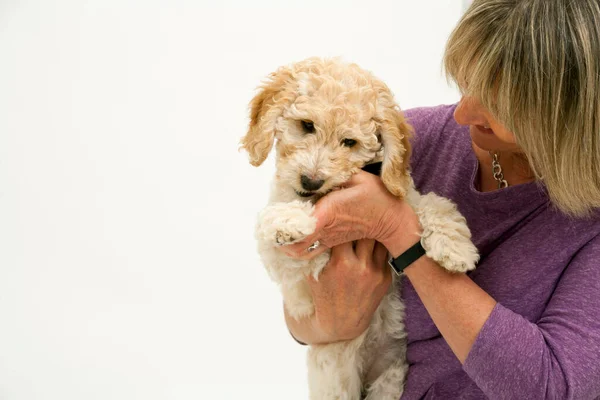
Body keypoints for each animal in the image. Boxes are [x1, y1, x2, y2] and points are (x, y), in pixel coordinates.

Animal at [239, 57, 478, 400]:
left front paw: (456, 249)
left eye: (349, 142)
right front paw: (289, 220)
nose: (310, 181)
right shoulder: (291, 272)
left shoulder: (404, 200)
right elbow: (282, 233)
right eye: (306, 125)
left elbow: (431, 204)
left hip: (391, 377)